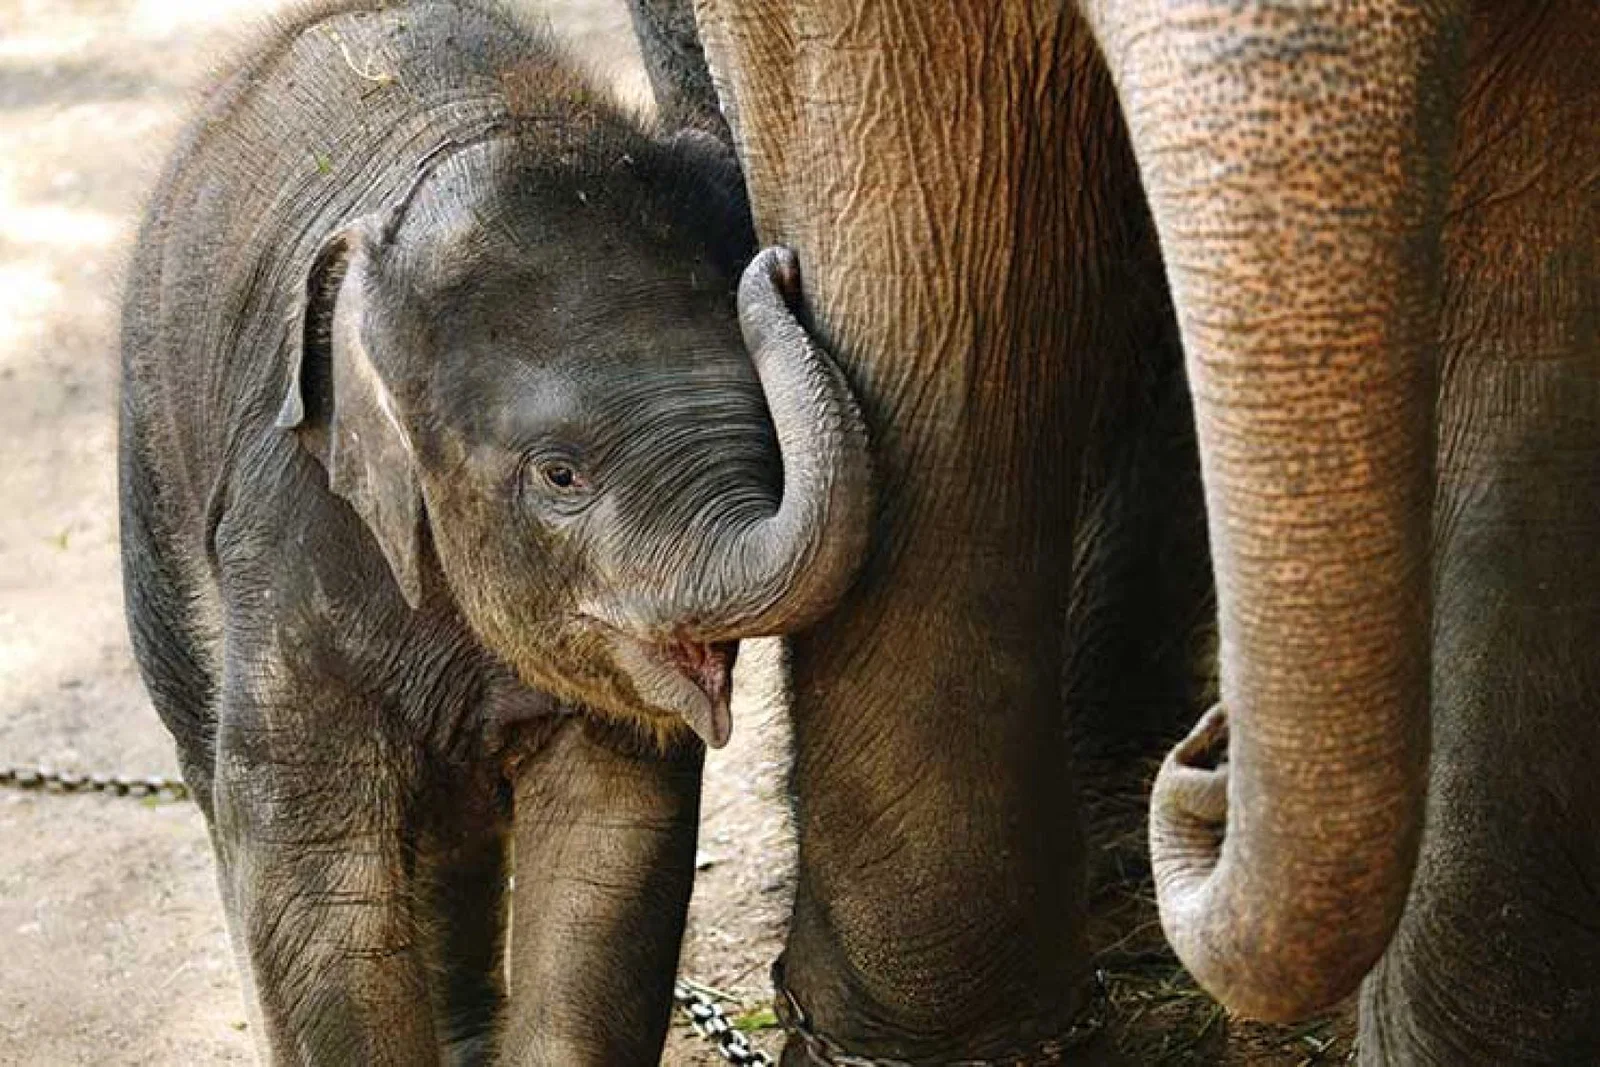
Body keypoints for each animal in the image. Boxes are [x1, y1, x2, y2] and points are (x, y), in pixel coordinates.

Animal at [117, 1, 871, 1062]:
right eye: (560, 475)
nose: (783, 264)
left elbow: (605, 855)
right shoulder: (297, 524)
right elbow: (317, 876)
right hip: (150, 477)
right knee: (215, 782)